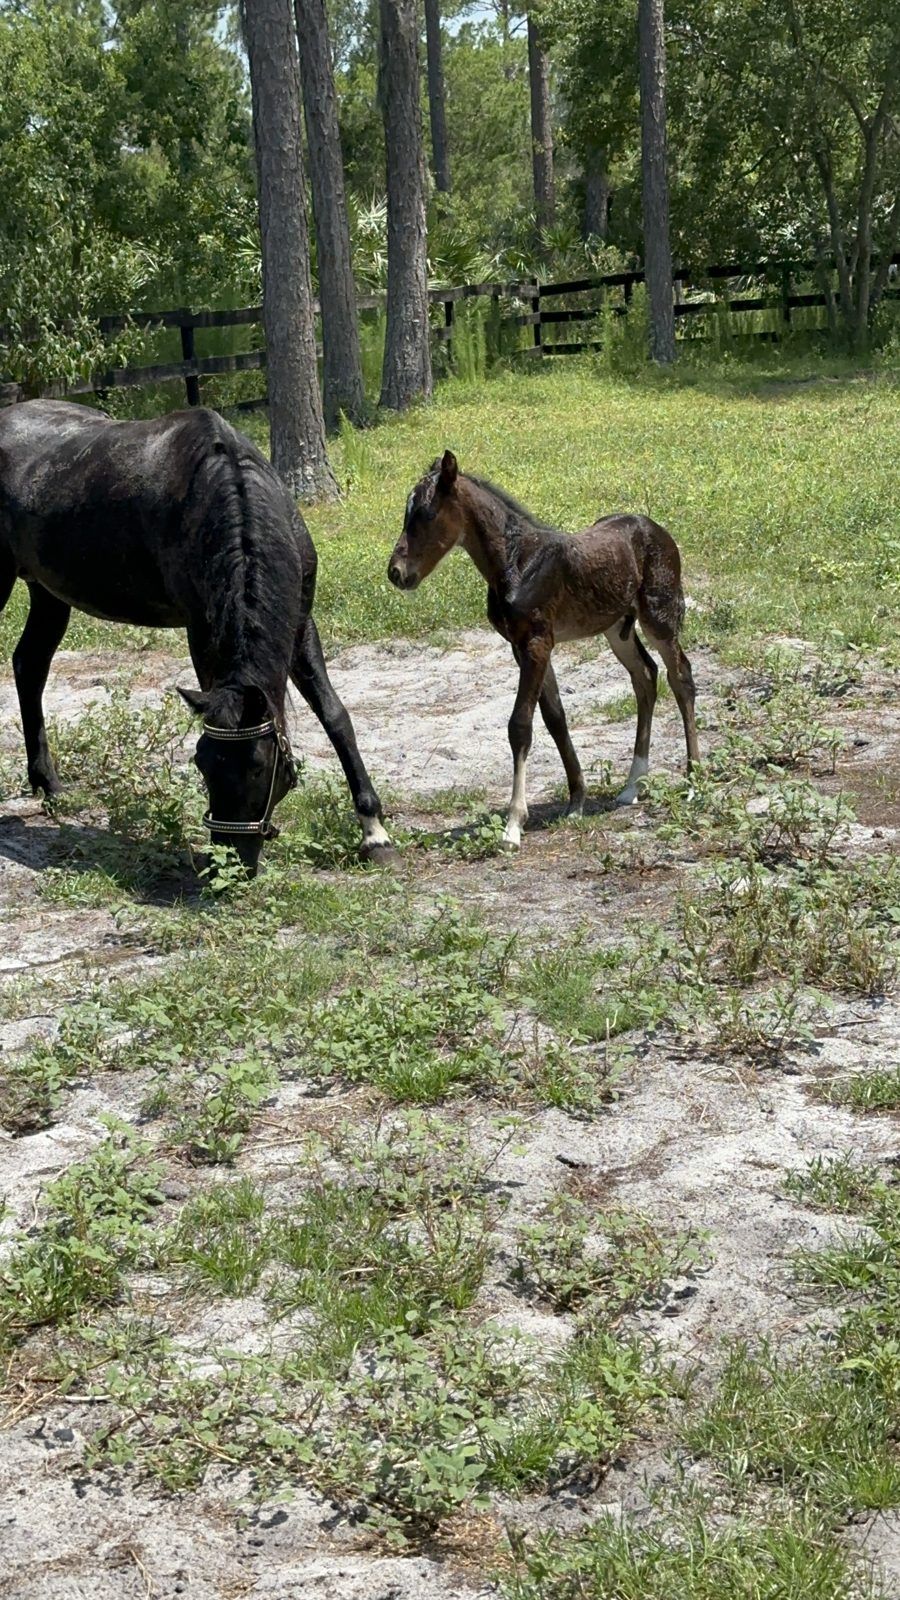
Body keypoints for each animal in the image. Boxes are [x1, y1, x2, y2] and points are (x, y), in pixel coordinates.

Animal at [0, 399, 394, 876]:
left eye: (260, 769)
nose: (233, 864)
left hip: (48, 592)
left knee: (30, 666)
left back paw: (49, 784)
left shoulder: (300, 623)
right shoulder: (202, 630)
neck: (229, 493)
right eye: (203, 765)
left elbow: (334, 714)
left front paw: (374, 832)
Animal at [388, 450, 699, 848]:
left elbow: (520, 724)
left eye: (426, 514)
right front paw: (576, 801)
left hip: (659, 616)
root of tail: (655, 527)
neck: (517, 561)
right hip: (617, 628)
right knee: (645, 676)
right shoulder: (525, 646)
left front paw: (513, 825)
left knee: (681, 677)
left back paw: (693, 780)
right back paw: (633, 786)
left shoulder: (536, 642)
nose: (396, 572)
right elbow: (555, 718)